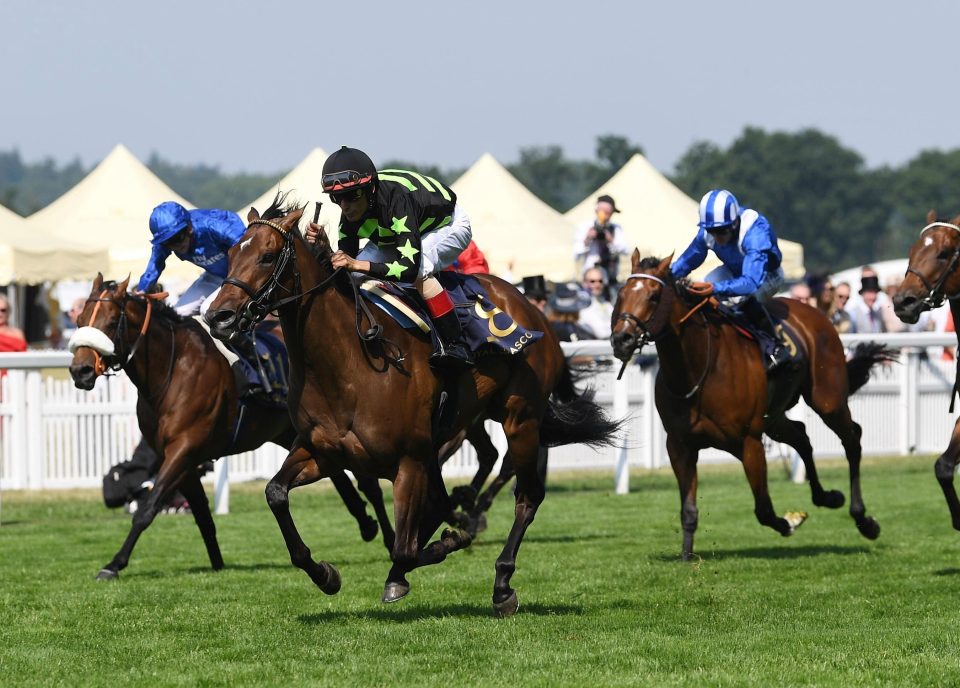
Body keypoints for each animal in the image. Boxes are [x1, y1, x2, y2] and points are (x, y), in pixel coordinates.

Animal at [68, 274, 394, 580]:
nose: (79, 371)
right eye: (80, 320)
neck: (172, 372)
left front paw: (114, 564)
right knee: (339, 477)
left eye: (111, 322)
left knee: (369, 485)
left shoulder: (183, 450)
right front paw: (217, 564)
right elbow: (202, 516)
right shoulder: (180, 458)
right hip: (295, 433)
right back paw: (366, 524)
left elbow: (147, 509)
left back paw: (388, 539)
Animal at [203, 195, 624, 620]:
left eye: (268, 256)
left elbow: (404, 548)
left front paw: (444, 544)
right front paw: (325, 573)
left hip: (519, 418)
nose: (217, 316)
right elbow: (275, 493)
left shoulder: (408, 459)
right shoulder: (322, 451)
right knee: (462, 489)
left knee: (527, 496)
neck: (348, 364)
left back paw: (501, 582)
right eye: (231, 255)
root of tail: (535, 311)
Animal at [608, 250, 892, 560]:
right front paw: (686, 557)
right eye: (621, 293)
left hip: (827, 399)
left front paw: (790, 522)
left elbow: (764, 510)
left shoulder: (749, 441)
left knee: (852, 439)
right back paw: (827, 497)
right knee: (802, 436)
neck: (696, 370)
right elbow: (688, 510)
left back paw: (864, 520)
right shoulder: (680, 445)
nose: (621, 339)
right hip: (774, 417)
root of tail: (814, 312)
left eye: (654, 295)